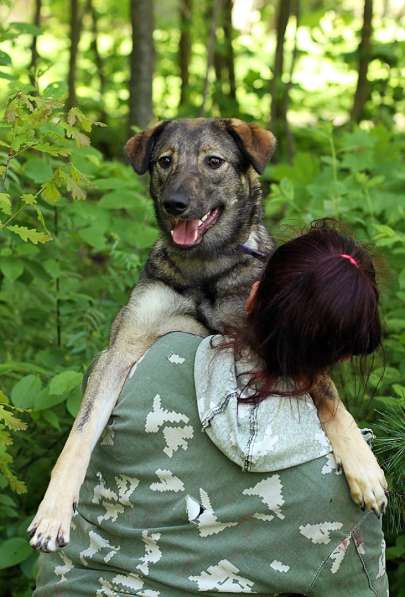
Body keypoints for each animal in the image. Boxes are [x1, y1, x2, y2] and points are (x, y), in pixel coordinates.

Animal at [26, 118, 386, 552]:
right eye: (165, 161)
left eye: (214, 161)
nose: (175, 203)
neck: (204, 267)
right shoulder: (123, 348)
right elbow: (81, 433)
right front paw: (53, 511)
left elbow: (327, 391)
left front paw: (364, 468)